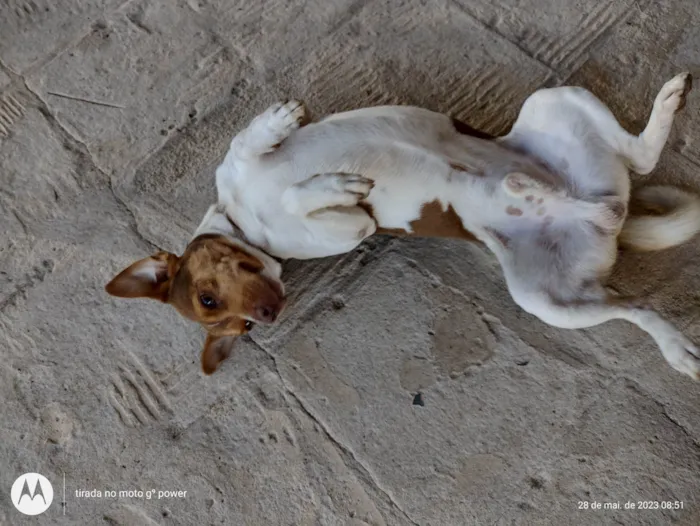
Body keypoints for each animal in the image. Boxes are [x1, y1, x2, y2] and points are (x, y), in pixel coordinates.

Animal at [105, 73, 700, 380]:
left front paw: (279, 122)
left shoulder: (240, 170)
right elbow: (310, 200)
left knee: (637, 163)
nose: (271, 314)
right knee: (633, 297)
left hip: (553, 101)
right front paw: (328, 187)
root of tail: (609, 216)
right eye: (238, 327)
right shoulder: (353, 228)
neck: (244, 218)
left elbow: (247, 143)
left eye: (208, 298)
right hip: (546, 300)